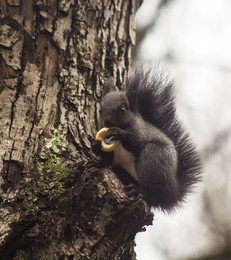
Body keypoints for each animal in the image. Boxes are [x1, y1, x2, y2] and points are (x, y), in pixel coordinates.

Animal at [93, 65, 201, 211]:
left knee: (154, 194)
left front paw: (118, 133)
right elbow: (107, 159)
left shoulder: (140, 131)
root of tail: (173, 192)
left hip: (153, 158)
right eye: (100, 110)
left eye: (123, 110)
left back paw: (139, 190)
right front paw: (96, 145)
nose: (107, 123)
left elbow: (135, 142)